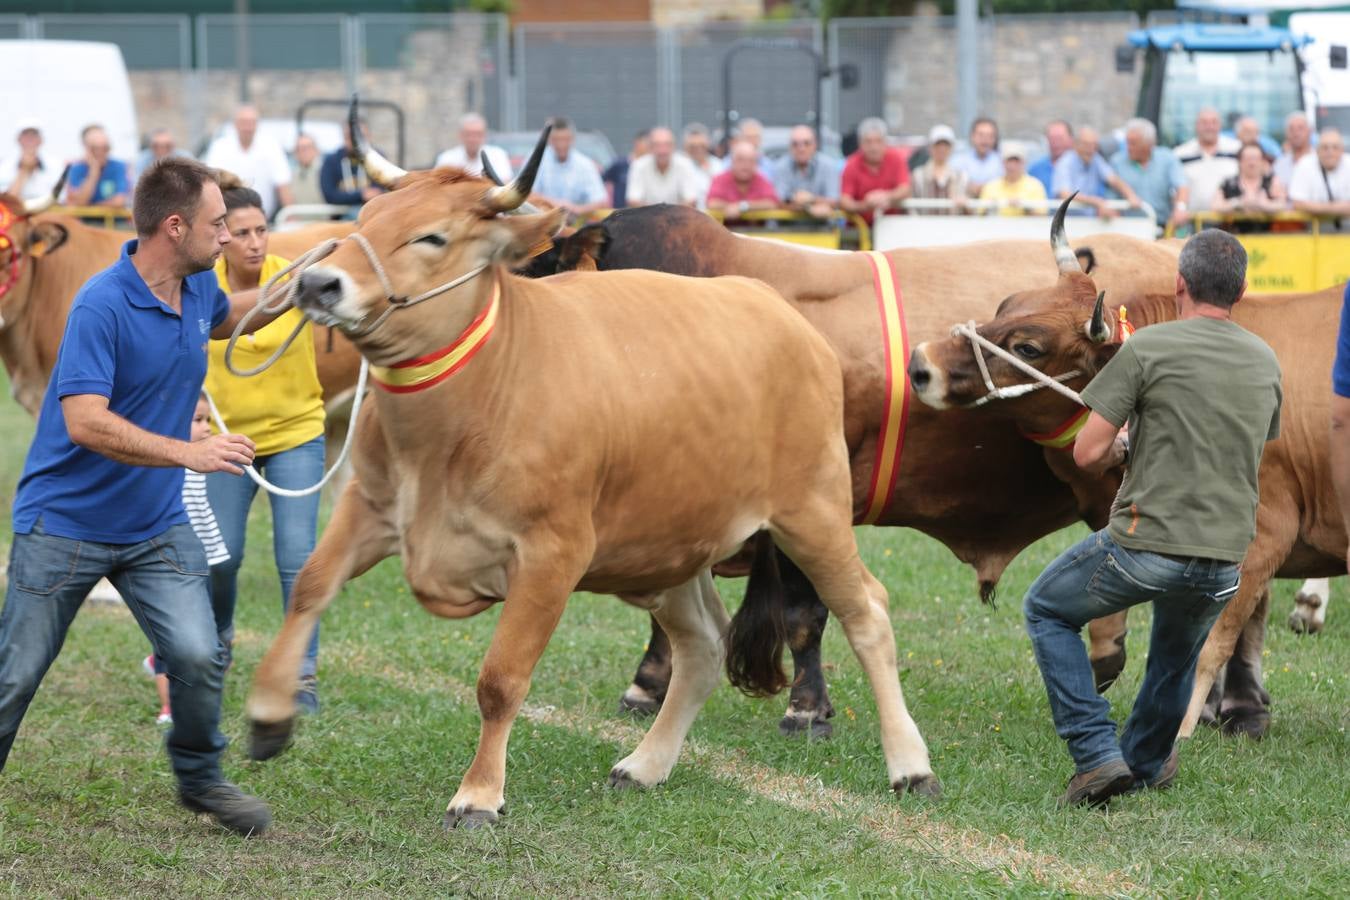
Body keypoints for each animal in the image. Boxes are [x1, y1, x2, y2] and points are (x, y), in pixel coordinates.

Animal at [245, 107, 939, 831]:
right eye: (366, 218)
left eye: (433, 235)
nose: (317, 284)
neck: (474, 403)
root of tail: (783, 315)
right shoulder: (371, 508)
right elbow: (309, 587)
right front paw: (270, 715)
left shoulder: (552, 552)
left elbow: (500, 679)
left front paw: (478, 794)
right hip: (669, 548)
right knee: (701, 645)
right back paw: (646, 764)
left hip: (813, 512)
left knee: (866, 612)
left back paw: (910, 765)